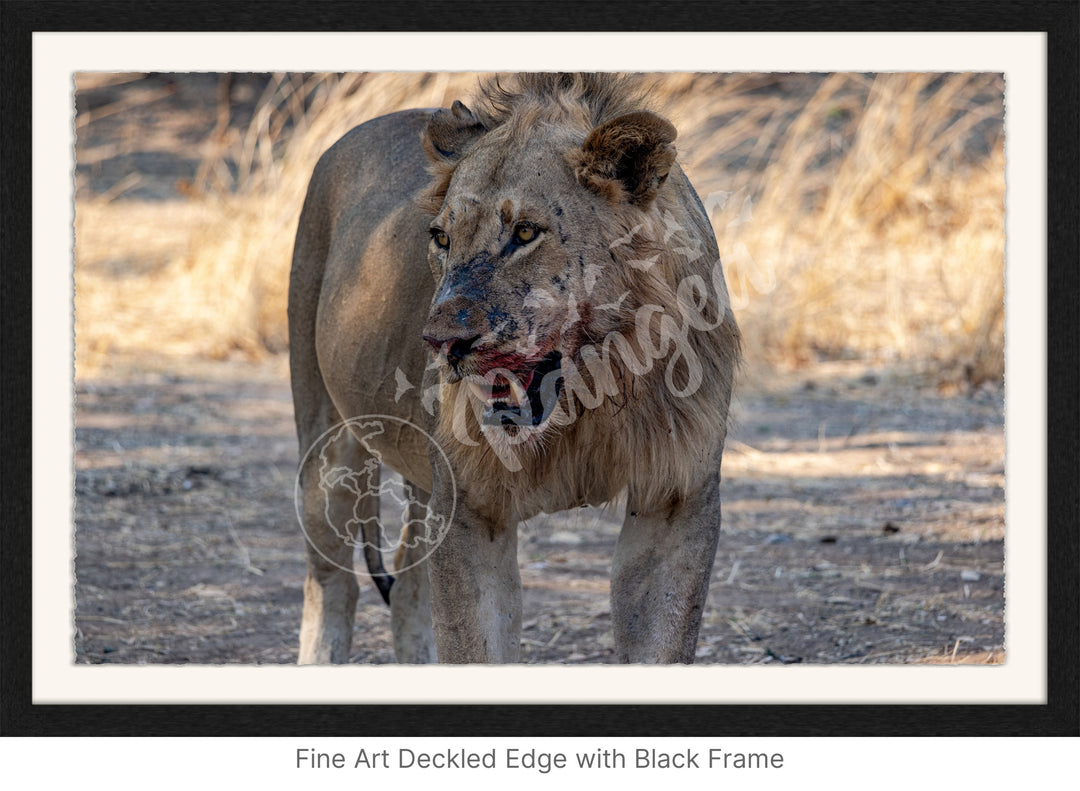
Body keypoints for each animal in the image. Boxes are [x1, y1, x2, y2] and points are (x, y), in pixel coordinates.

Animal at [291, 74, 738, 665]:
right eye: (442, 238)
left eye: (525, 234)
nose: (441, 343)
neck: (591, 396)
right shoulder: (469, 508)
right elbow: (474, 645)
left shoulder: (676, 500)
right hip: (327, 443)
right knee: (331, 583)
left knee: (407, 585)